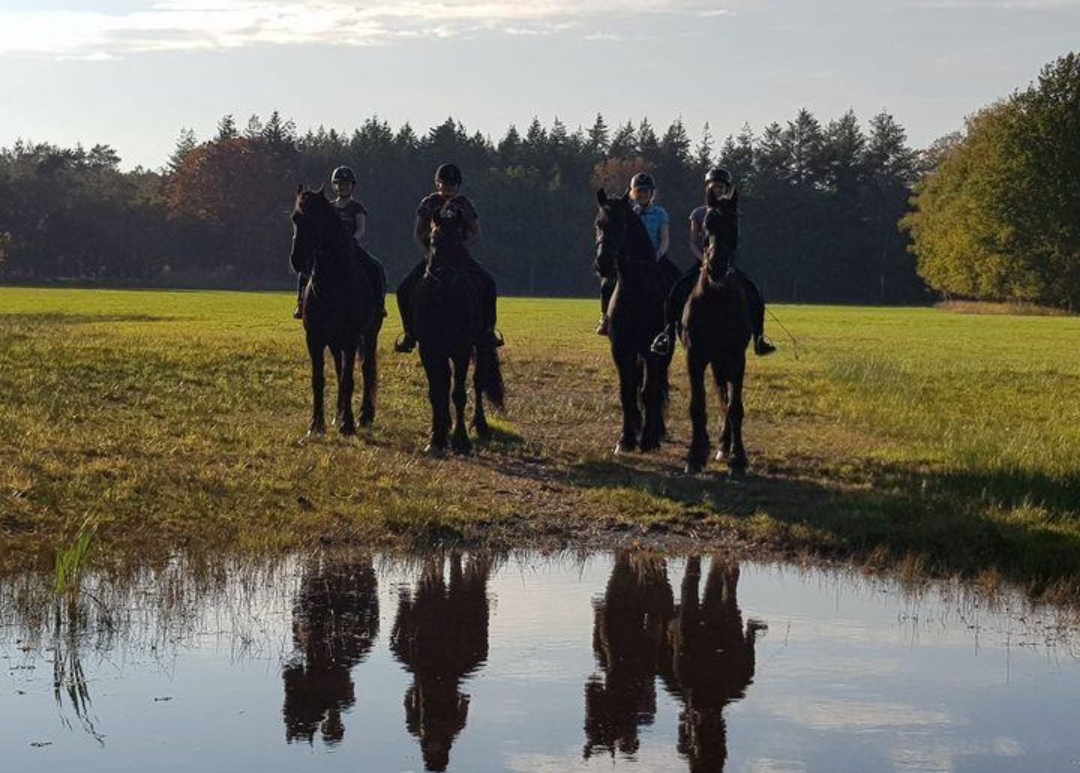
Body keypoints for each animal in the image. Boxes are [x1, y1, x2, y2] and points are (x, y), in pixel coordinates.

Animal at [289, 185, 383, 436]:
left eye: (317, 218)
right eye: (295, 218)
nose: (297, 260)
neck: (331, 284)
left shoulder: (350, 338)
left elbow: (349, 379)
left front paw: (348, 425)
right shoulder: (314, 338)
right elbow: (319, 379)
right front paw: (316, 424)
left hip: (369, 335)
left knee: (365, 368)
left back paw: (364, 415)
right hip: (334, 341)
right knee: (339, 369)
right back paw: (338, 414)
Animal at [410, 203, 505, 456]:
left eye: (459, 240)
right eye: (433, 239)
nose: (444, 276)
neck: (444, 300)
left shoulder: (461, 350)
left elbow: (459, 393)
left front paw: (461, 441)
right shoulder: (429, 350)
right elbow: (436, 392)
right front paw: (436, 438)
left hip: (480, 346)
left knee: (478, 381)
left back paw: (480, 425)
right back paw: (445, 426)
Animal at [594, 188, 673, 454]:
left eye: (622, 224)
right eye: (598, 223)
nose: (602, 263)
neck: (636, 289)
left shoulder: (651, 349)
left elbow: (649, 391)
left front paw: (649, 439)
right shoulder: (622, 348)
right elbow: (627, 391)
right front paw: (626, 438)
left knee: (658, 385)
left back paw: (658, 430)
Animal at [680, 188, 753, 473]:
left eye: (734, 224)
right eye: (707, 224)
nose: (717, 266)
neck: (717, 297)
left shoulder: (736, 357)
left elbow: (735, 407)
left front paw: (738, 457)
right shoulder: (695, 356)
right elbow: (697, 405)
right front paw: (694, 455)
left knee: (726, 399)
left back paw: (725, 445)